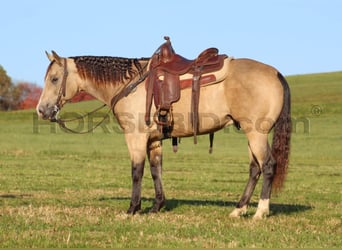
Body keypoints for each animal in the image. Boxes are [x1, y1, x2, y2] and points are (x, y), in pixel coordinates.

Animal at [36, 37, 290, 219]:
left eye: (55, 79)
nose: (41, 110)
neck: (131, 84)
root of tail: (276, 73)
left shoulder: (135, 137)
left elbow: (137, 171)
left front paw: (133, 209)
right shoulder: (154, 141)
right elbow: (156, 169)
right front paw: (157, 206)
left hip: (256, 133)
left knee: (268, 165)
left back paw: (260, 211)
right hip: (251, 134)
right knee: (254, 169)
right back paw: (239, 209)